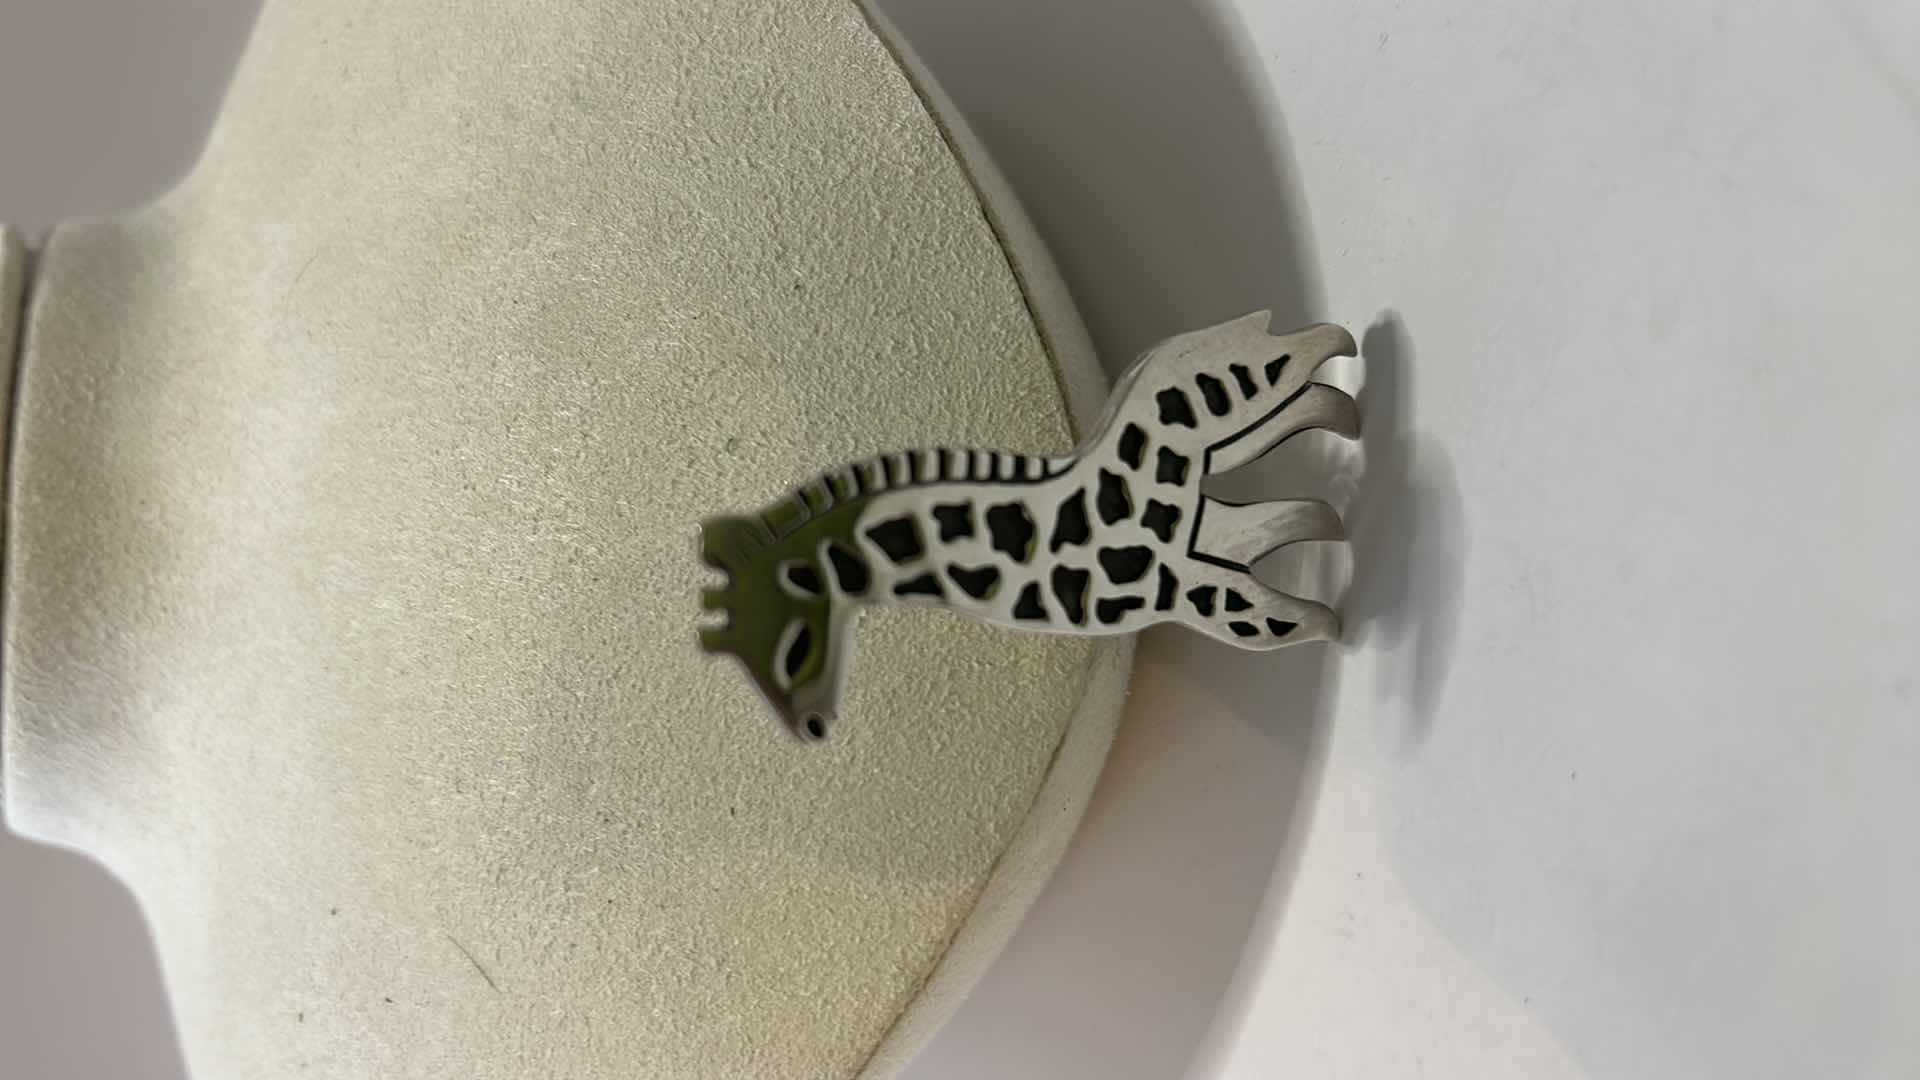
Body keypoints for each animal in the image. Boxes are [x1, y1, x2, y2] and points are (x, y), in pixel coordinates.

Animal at [698, 312, 1360, 741]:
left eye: (794, 648)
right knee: (1307, 449)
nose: (810, 729)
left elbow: (1279, 619)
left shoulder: (1186, 592)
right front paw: (1334, 607)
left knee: (1314, 359)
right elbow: (1282, 577)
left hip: (1239, 392)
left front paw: (1336, 627)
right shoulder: (1193, 581)